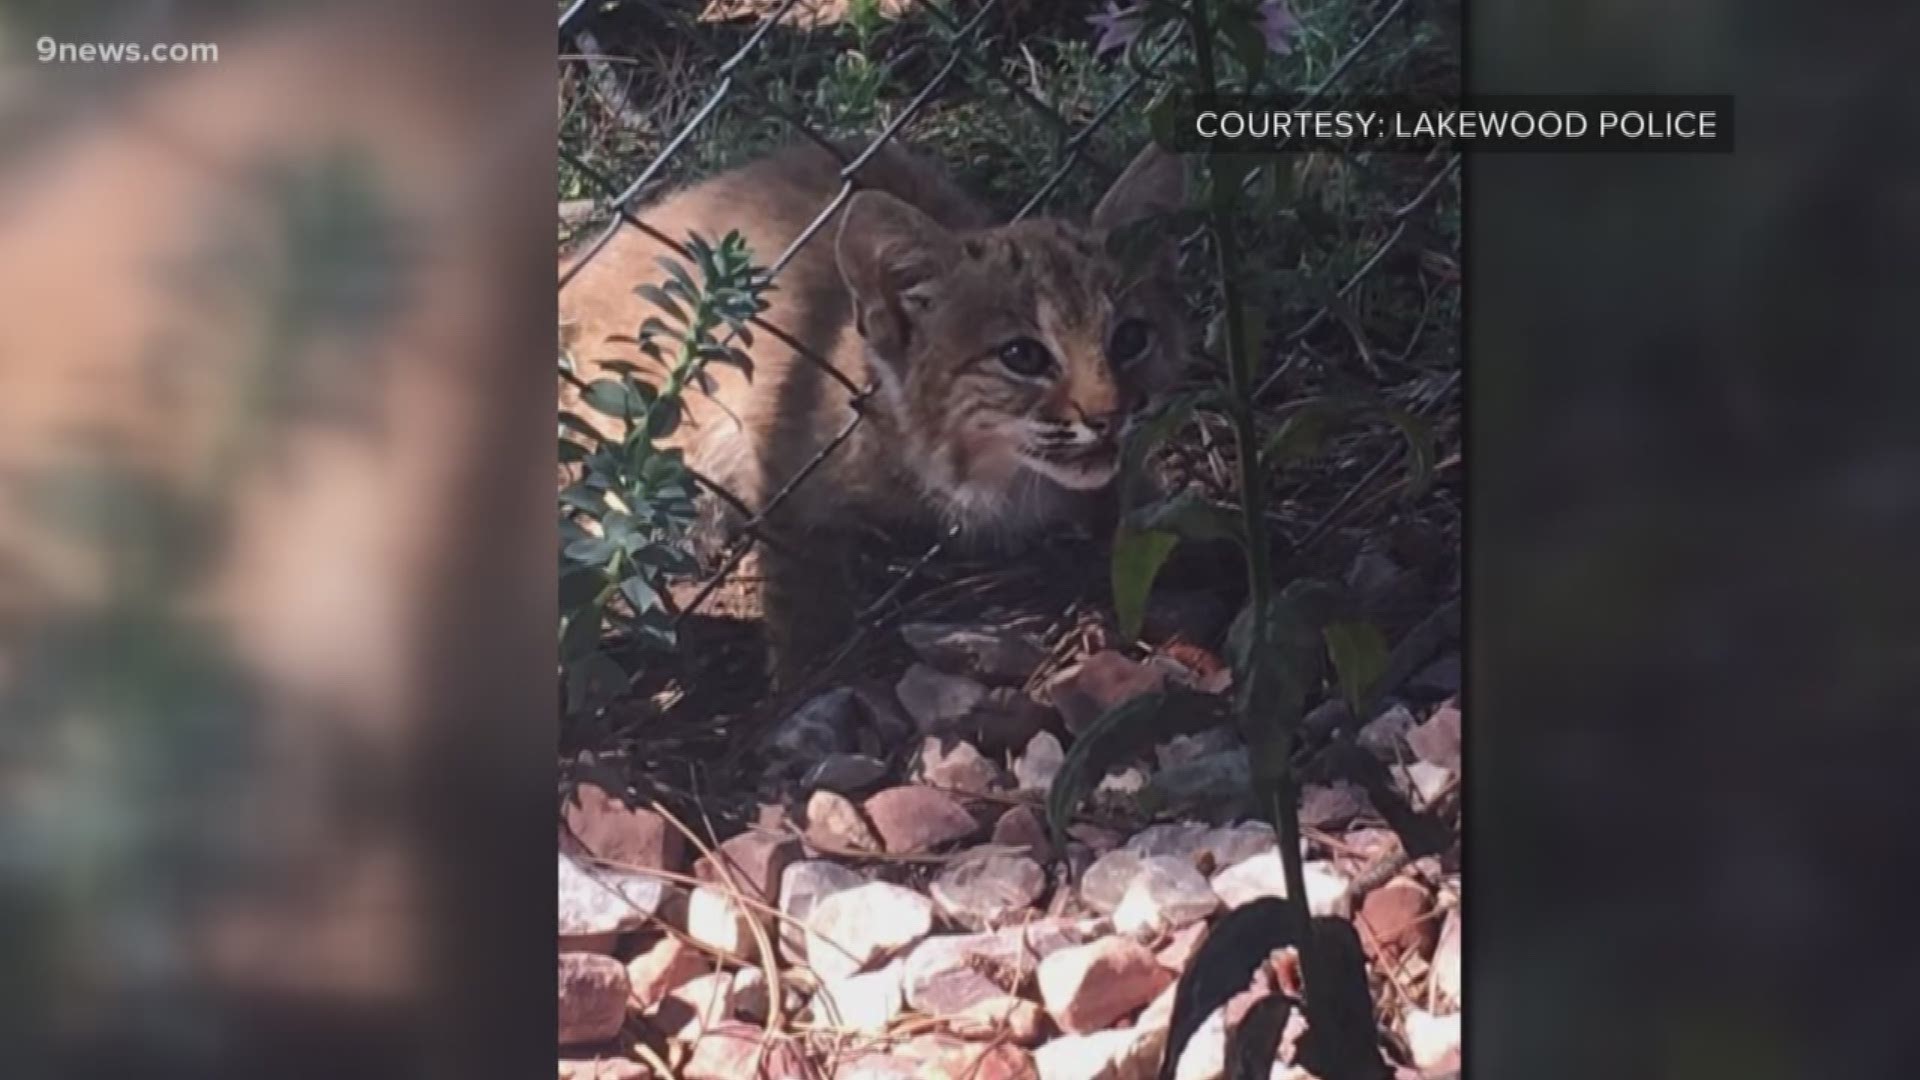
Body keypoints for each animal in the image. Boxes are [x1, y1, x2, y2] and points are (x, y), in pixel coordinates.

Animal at [556, 138, 1182, 676]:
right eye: (1022, 356)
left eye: (1131, 340)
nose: (1111, 417)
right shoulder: (783, 469)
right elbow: (802, 584)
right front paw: (803, 681)